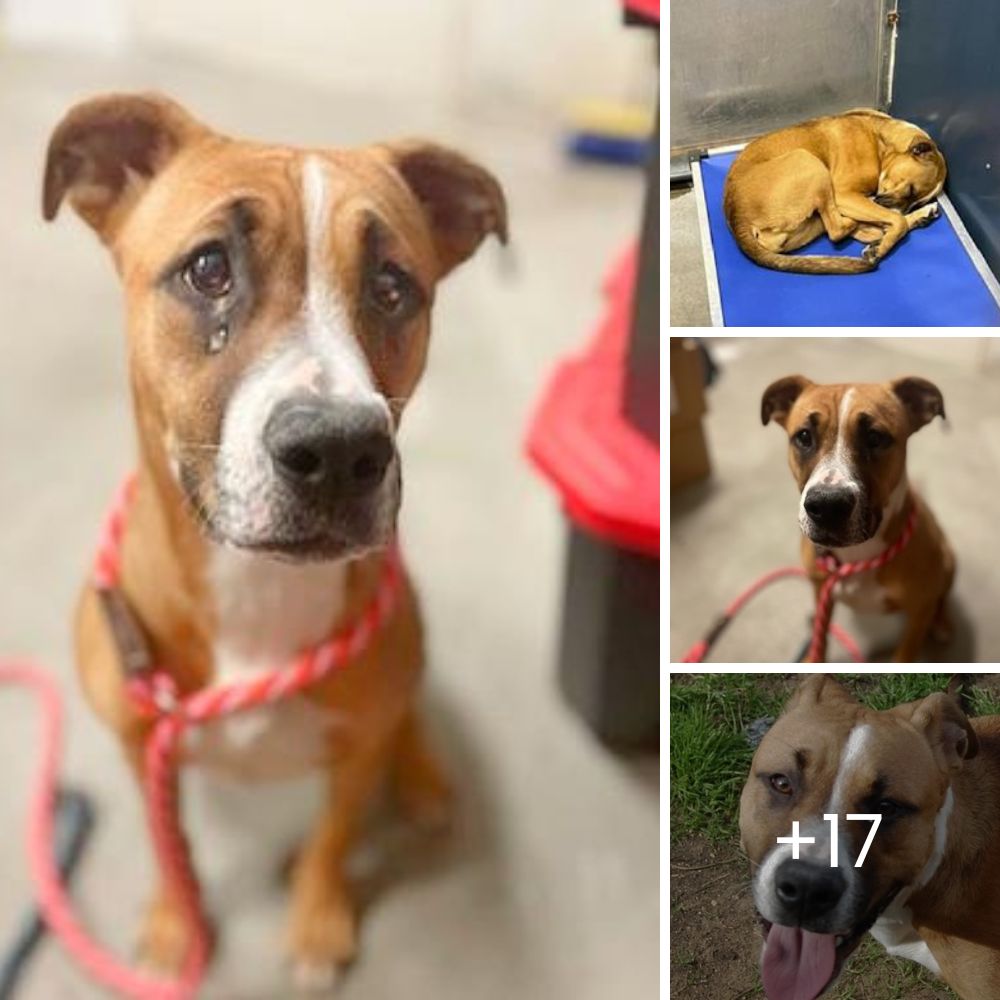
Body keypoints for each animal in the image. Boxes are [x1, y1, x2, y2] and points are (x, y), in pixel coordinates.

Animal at [44, 92, 508, 984]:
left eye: (393, 287)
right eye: (208, 269)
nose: (339, 452)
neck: (255, 589)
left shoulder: (355, 754)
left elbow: (333, 836)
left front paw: (318, 921)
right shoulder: (141, 748)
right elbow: (167, 840)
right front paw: (176, 923)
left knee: (405, 720)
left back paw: (423, 777)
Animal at [728, 110, 944, 274]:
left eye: (916, 201)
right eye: (910, 190)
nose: (914, 209)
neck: (881, 142)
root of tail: (736, 217)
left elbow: (896, 220)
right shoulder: (844, 195)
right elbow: (897, 221)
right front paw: (880, 248)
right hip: (810, 162)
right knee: (839, 230)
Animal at [764, 376, 952, 664]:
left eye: (875, 437)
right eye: (804, 436)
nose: (827, 505)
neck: (858, 557)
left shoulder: (918, 614)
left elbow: (904, 655)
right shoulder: (822, 589)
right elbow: (821, 639)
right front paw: (813, 658)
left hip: (948, 559)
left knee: (943, 596)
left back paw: (942, 623)